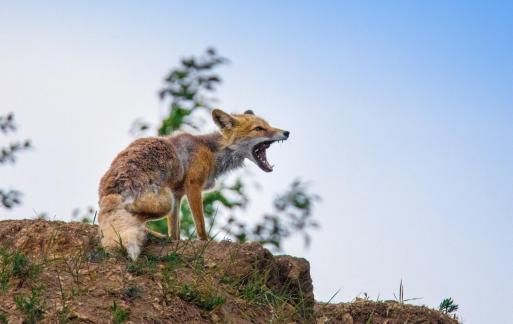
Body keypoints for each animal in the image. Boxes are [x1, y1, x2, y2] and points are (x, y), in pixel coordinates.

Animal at [96, 110, 288, 260]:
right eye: (259, 128)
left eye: (268, 125)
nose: (287, 132)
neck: (212, 152)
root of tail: (111, 192)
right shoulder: (193, 186)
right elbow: (200, 225)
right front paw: (205, 242)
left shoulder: (177, 193)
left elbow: (175, 232)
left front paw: (175, 242)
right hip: (165, 202)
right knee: (133, 218)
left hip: (167, 199)